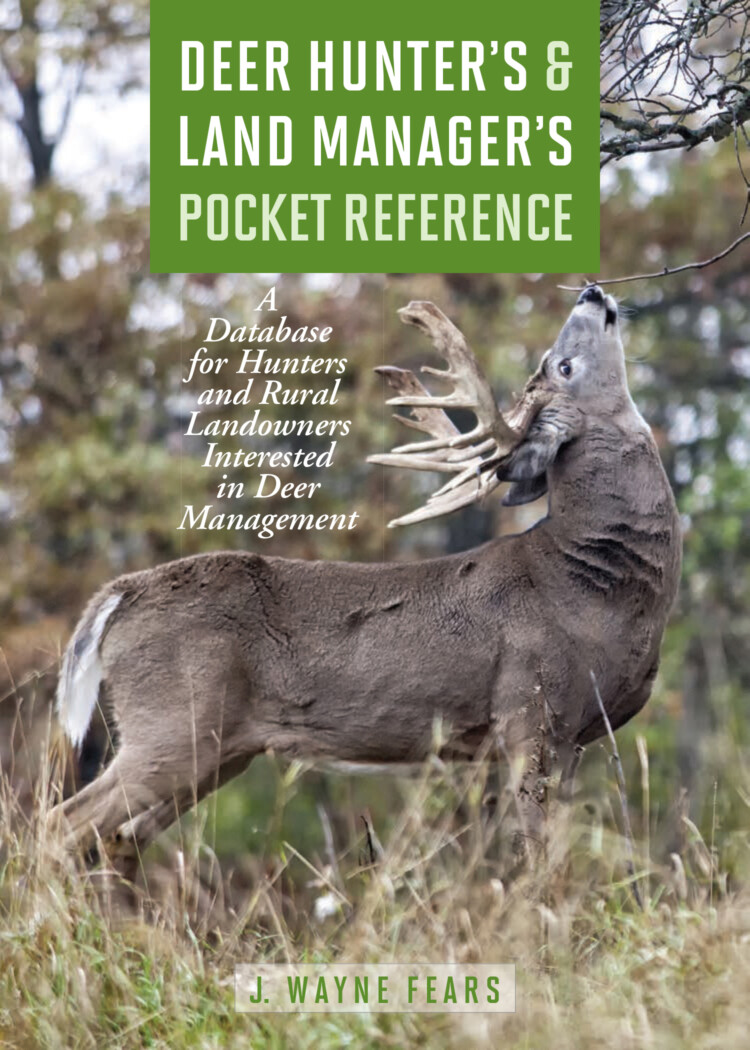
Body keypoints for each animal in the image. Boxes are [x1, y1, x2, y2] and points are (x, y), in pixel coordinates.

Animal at [50, 286, 682, 876]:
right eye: (563, 366)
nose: (591, 292)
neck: (588, 582)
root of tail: (120, 594)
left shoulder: (575, 736)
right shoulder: (531, 711)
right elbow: (539, 862)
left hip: (220, 749)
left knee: (118, 840)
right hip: (171, 722)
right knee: (63, 822)